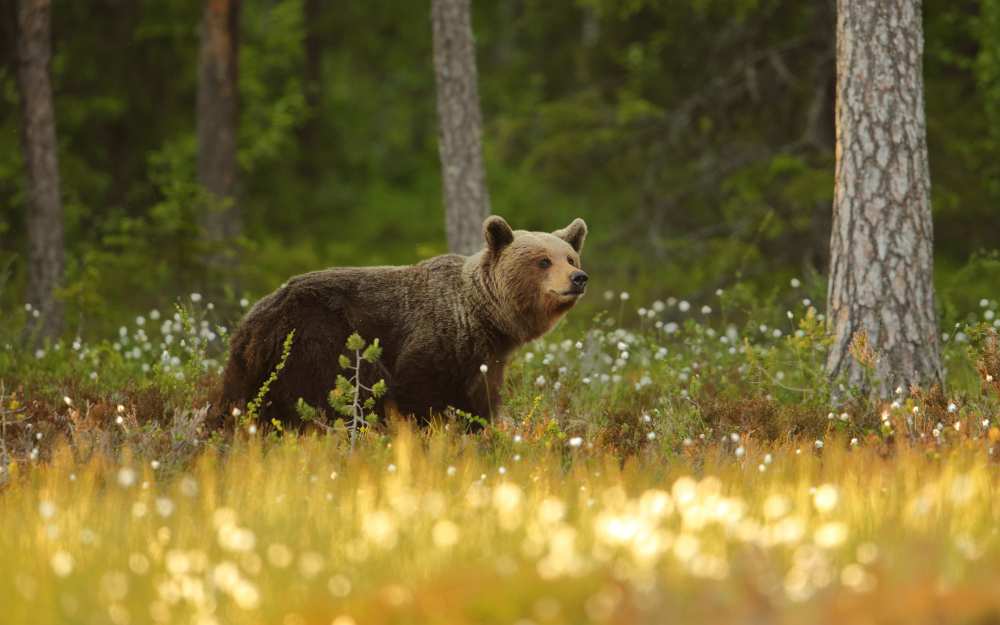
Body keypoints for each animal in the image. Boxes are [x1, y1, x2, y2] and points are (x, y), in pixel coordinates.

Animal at [219, 214, 584, 424]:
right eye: (543, 261)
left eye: (569, 256)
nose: (579, 277)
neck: (483, 316)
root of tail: (252, 320)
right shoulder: (434, 341)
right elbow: (419, 394)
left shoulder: (483, 358)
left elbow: (479, 401)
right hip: (316, 339)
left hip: (251, 367)